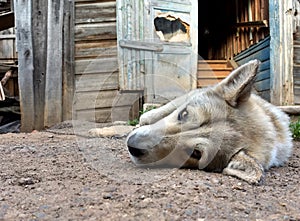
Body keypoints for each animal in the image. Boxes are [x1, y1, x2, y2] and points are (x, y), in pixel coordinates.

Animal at [126, 59, 292, 185]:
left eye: (195, 153)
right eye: (184, 114)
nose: (131, 145)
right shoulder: (188, 96)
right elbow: (151, 115)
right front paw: (142, 121)